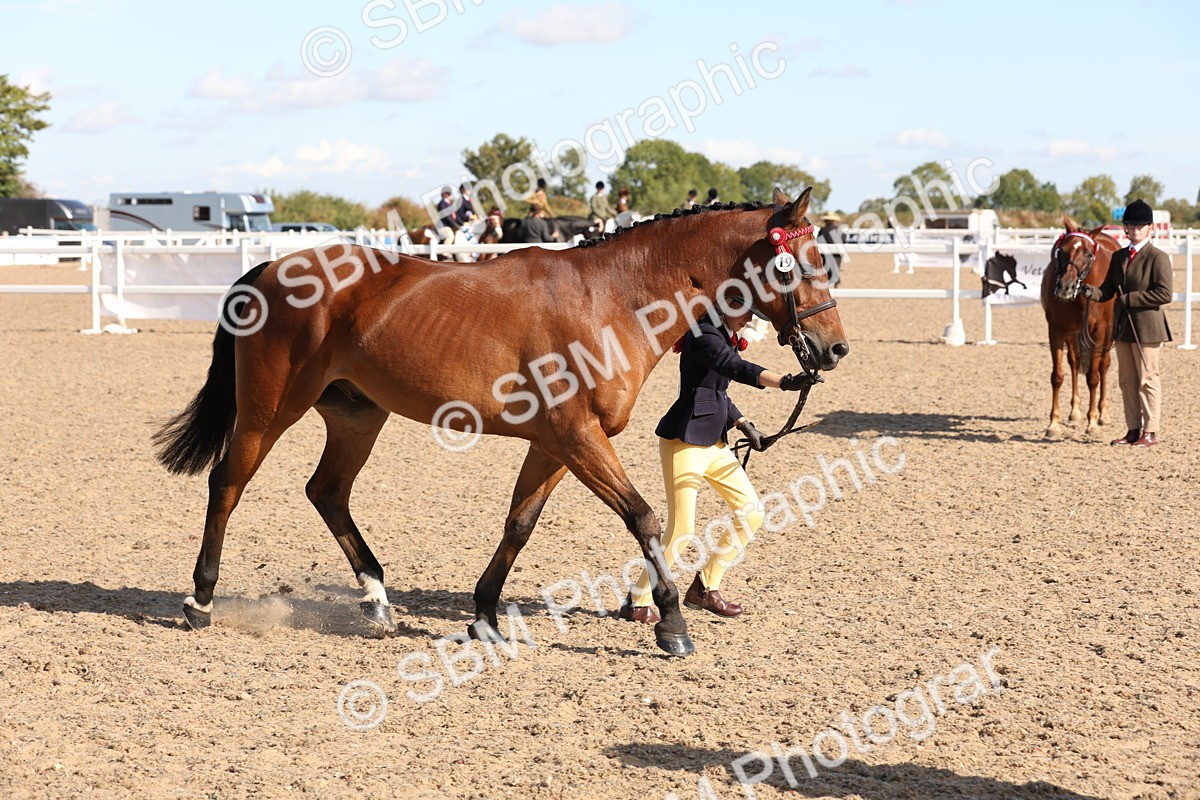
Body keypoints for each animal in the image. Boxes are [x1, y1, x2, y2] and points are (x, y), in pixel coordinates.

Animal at [152, 187, 849, 658]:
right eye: (803, 263)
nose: (833, 349)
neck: (612, 298)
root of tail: (270, 269)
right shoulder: (578, 438)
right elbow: (646, 519)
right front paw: (673, 626)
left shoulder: (556, 444)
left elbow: (519, 523)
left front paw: (484, 615)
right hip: (269, 410)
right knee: (228, 483)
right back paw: (200, 600)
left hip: (356, 415)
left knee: (326, 492)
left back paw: (377, 600)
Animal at [1040, 214, 1119, 437]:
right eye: (1061, 251)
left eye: (1088, 253)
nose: (1065, 287)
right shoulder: (1057, 330)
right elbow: (1057, 376)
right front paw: (1053, 423)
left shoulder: (1099, 331)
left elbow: (1093, 376)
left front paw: (1092, 421)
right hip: (1073, 334)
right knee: (1074, 363)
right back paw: (1075, 411)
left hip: (1108, 332)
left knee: (1103, 366)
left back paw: (1103, 413)